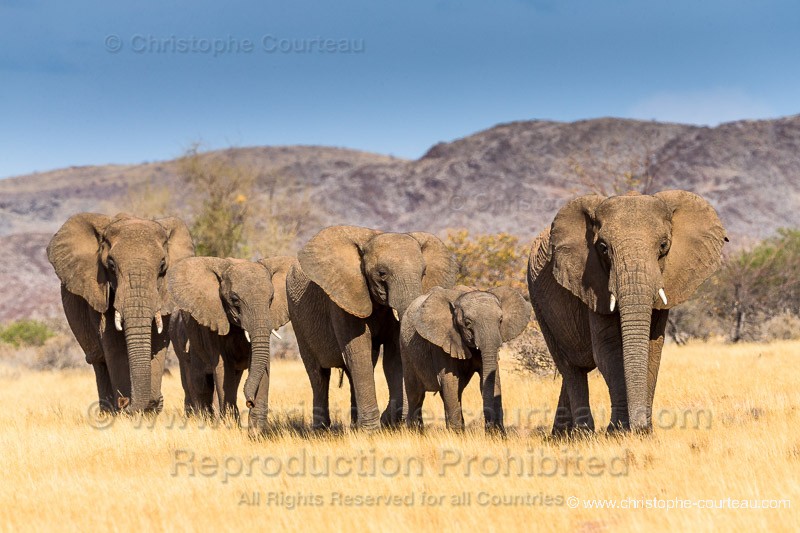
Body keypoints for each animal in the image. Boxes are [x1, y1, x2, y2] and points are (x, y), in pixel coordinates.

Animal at [48, 212, 195, 412]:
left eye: (162, 265)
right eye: (111, 264)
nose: (126, 402)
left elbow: (158, 343)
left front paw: (150, 407)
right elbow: (114, 345)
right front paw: (127, 408)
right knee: (98, 361)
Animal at [167, 254, 296, 432]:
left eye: (271, 299)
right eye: (234, 299)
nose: (249, 402)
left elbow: (262, 364)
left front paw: (256, 431)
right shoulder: (213, 322)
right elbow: (222, 367)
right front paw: (231, 426)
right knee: (200, 382)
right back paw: (204, 421)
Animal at [288, 223, 456, 428]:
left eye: (424, 273)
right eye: (382, 273)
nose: (390, 419)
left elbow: (393, 357)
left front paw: (389, 423)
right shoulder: (344, 297)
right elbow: (359, 351)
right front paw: (371, 429)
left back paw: (354, 425)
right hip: (297, 318)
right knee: (318, 374)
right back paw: (322, 430)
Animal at [400, 286, 532, 432]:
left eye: (500, 320)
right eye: (467, 323)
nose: (489, 427)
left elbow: (492, 378)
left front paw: (498, 434)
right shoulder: (443, 342)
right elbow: (450, 380)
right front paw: (456, 435)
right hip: (406, 351)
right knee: (416, 395)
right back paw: (415, 432)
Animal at [528, 190, 728, 432]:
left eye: (664, 245)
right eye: (603, 248)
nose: (639, 426)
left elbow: (653, 347)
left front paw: (644, 432)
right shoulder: (594, 283)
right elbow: (610, 349)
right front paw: (620, 431)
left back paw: (561, 435)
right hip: (538, 301)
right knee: (570, 367)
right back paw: (583, 433)